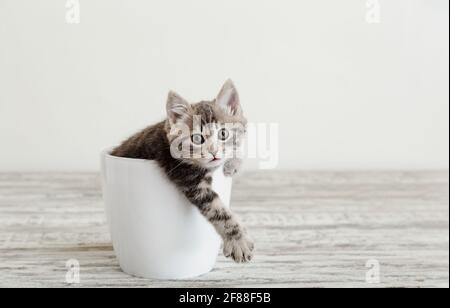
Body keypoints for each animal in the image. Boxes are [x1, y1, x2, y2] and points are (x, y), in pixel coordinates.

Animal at [112, 79, 253, 262]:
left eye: (223, 134)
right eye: (197, 138)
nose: (214, 151)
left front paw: (232, 163)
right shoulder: (189, 178)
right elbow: (217, 210)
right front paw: (238, 240)